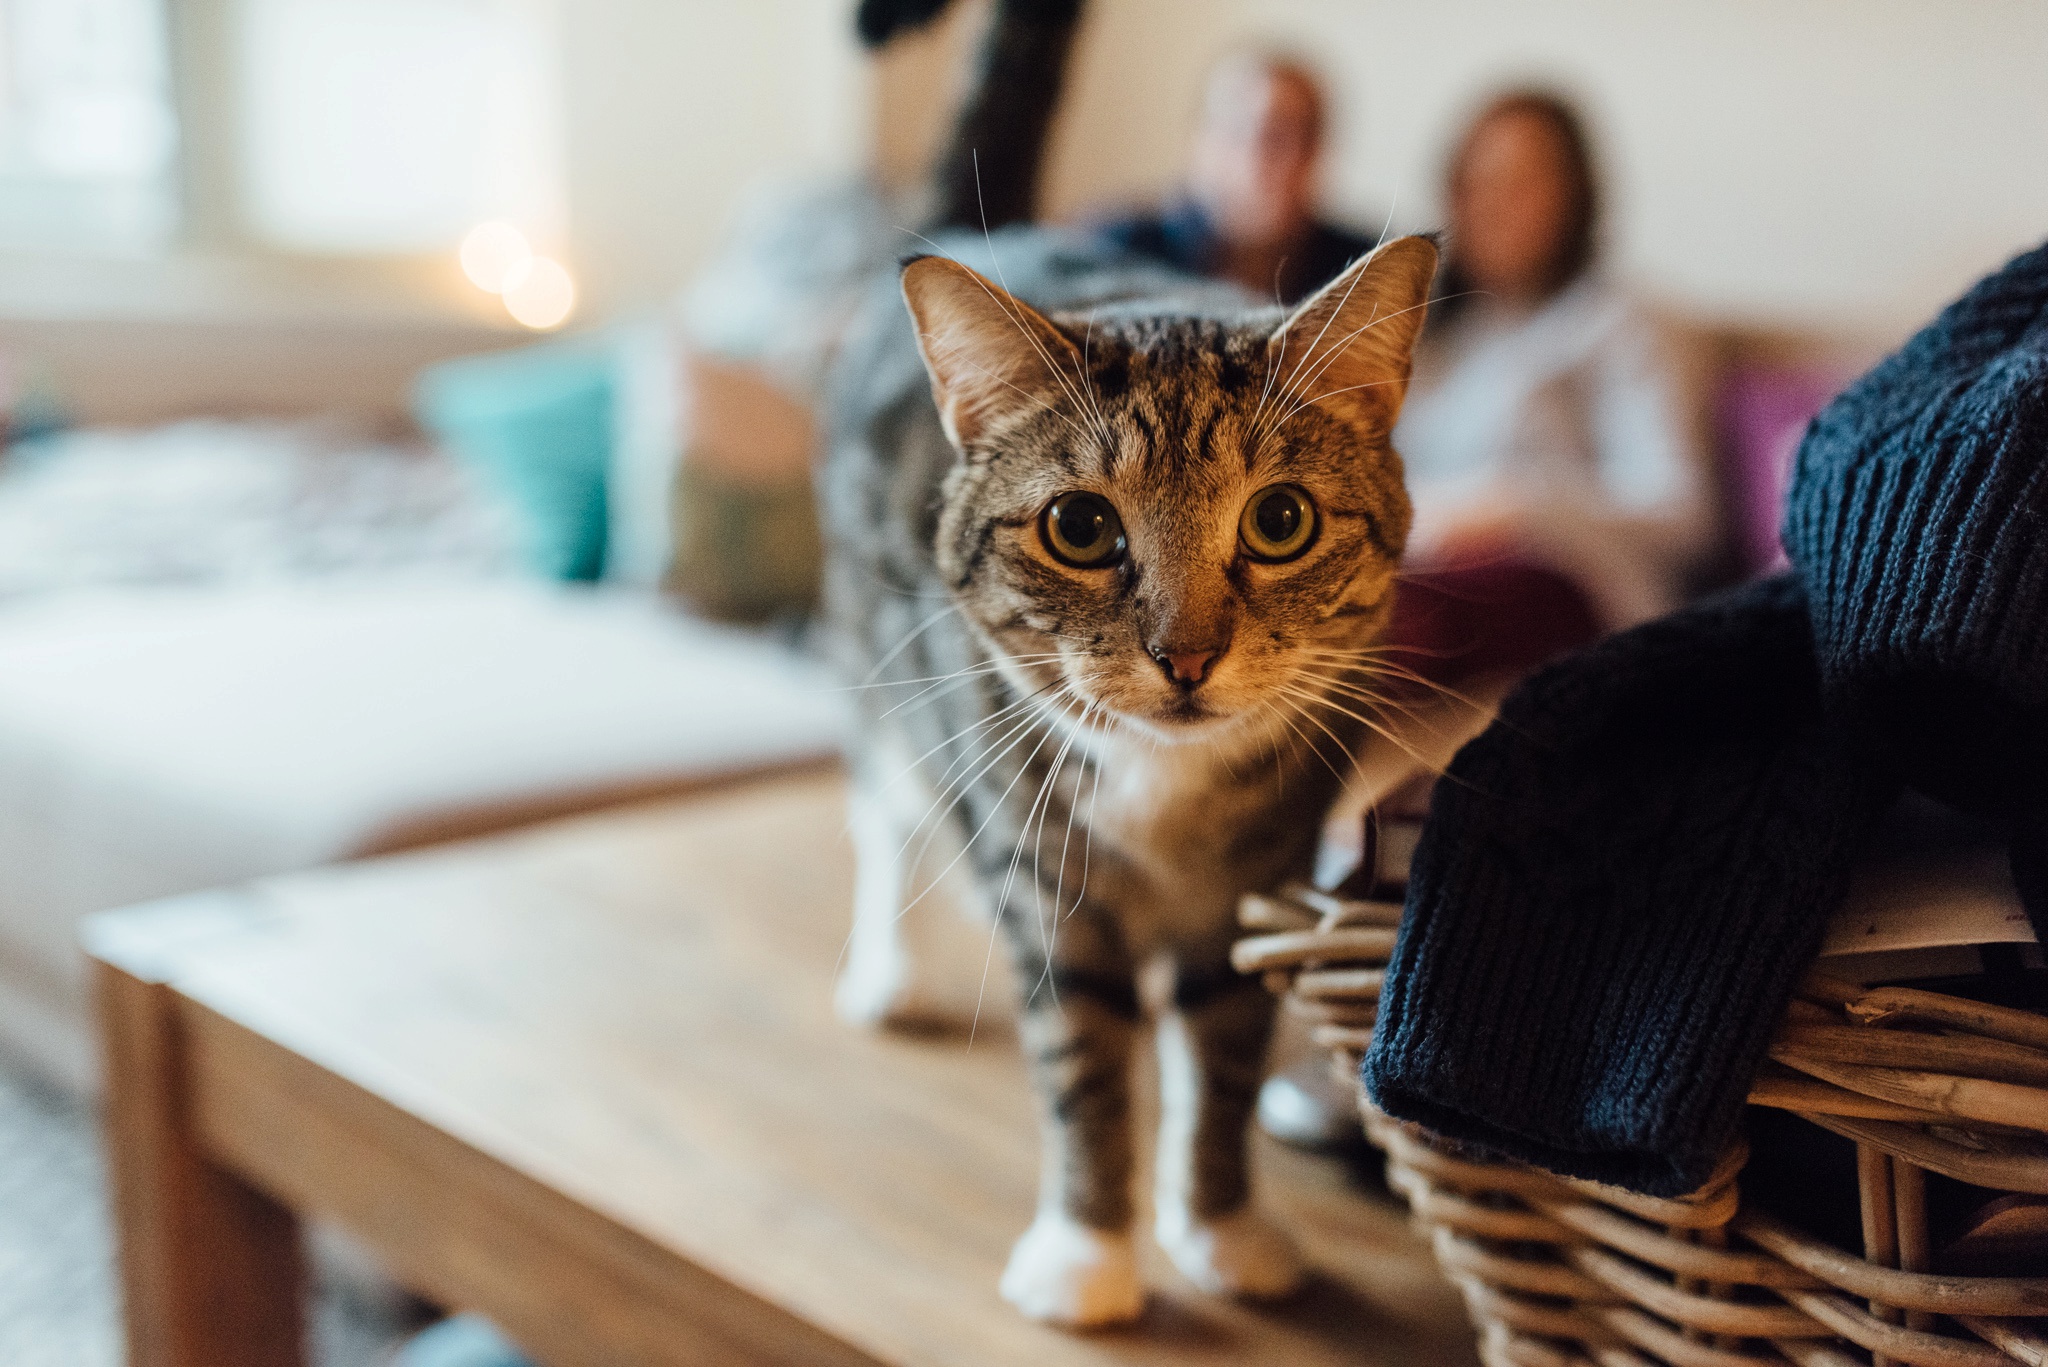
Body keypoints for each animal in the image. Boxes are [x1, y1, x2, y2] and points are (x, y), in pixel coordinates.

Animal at [823, 0, 1433, 1328]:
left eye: (1280, 520)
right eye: (1078, 527)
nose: (1186, 652)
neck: (1165, 794)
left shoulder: (1257, 883)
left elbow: (1222, 1054)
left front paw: (1221, 1223)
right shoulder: (1049, 885)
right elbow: (1086, 1065)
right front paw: (1086, 1251)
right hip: (877, 671)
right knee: (883, 807)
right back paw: (889, 965)